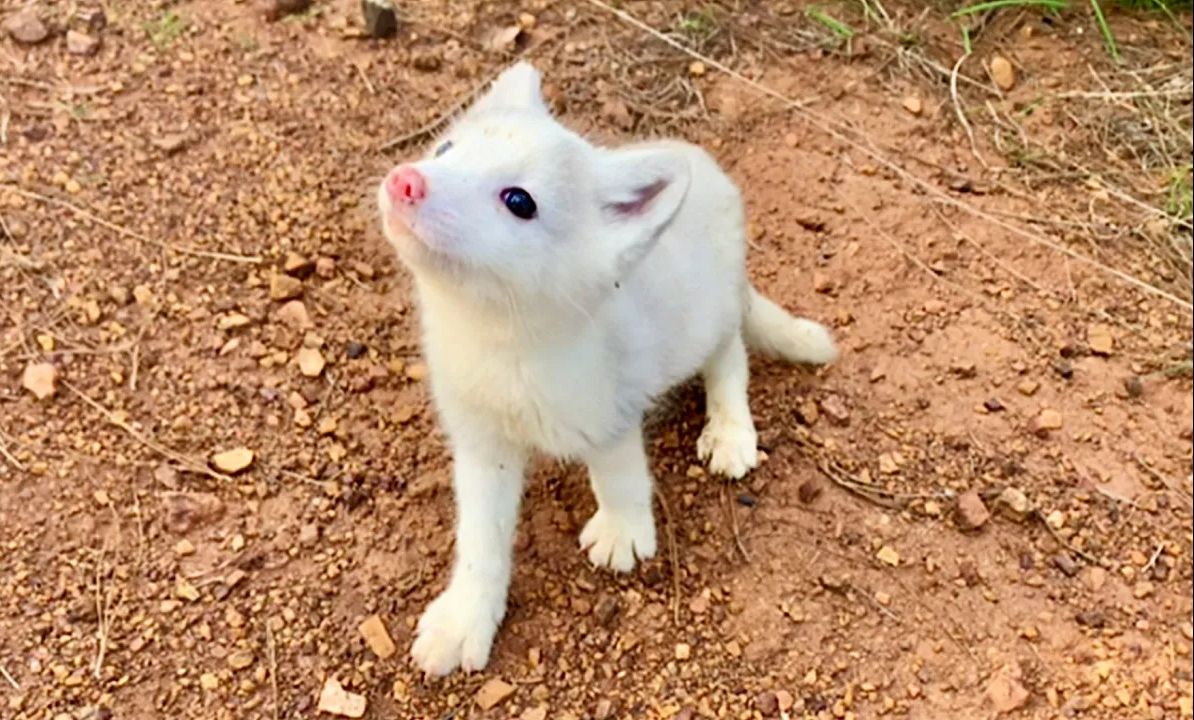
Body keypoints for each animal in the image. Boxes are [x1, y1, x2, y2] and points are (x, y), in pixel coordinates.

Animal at [377, 60, 835, 678]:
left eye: (519, 201)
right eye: (445, 148)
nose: (405, 180)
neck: (504, 342)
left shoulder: (611, 410)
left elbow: (619, 474)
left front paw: (624, 532)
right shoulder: (481, 443)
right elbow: (481, 538)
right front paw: (465, 617)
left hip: (710, 313)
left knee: (732, 356)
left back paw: (730, 430)